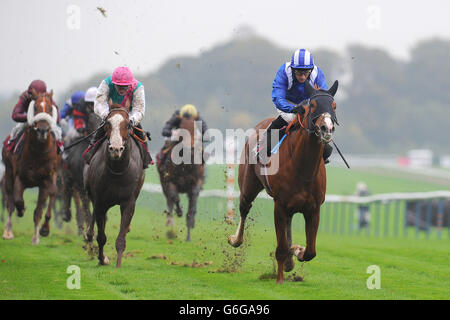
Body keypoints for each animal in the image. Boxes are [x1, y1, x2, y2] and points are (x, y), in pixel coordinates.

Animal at [1, 90, 60, 245]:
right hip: (9, 174)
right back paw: (8, 232)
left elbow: (39, 210)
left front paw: (37, 236)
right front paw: (21, 210)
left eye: (50, 108)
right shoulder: (20, 178)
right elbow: (18, 201)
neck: (38, 152)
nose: (43, 130)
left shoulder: (45, 180)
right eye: (35, 108)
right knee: (10, 202)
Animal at [85, 100, 145, 268]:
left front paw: (118, 266)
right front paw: (101, 258)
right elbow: (101, 237)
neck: (117, 172)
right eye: (107, 123)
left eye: (128, 124)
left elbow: (121, 239)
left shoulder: (128, 203)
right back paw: (88, 235)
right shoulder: (100, 202)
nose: (116, 149)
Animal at [229, 80, 338, 282]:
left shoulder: (314, 208)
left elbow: (310, 252)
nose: (327, 128)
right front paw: (279, 279)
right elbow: (280, 248)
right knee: (244, 208)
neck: (303, 168)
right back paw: (235, 239)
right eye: (312, 105)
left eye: (333, 105)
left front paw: (296, 251)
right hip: (248, 185)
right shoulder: (279, 206)